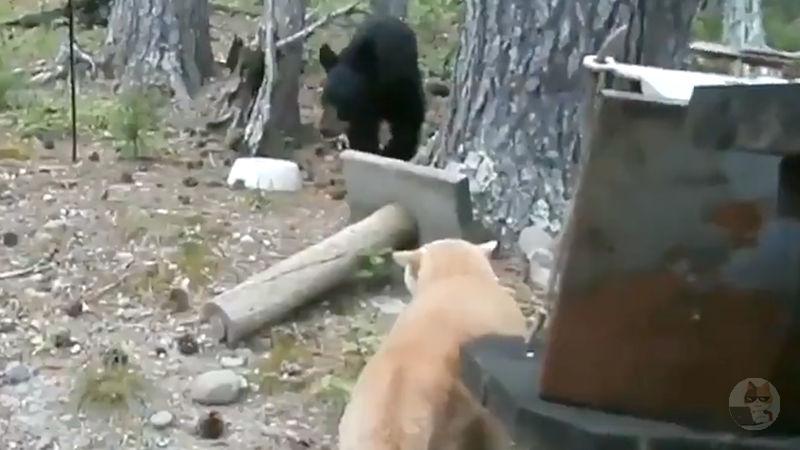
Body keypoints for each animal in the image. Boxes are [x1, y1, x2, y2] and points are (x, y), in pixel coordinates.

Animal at [318, 16, 425, 162]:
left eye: (342, 101)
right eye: (324, 99)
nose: (324, 129)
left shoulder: (401, 87)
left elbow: (408, 120)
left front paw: (394, 152)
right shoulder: (362, 115)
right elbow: (363, 136)